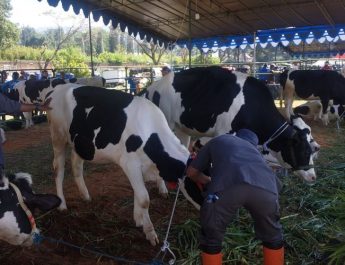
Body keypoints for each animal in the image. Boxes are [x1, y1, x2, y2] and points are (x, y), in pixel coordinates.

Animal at [12, 79, 191, 245]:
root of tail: (55, 89)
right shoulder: (130, 164)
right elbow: (144, 199)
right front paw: (150, 233)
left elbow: (138, 193)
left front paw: (138, 220)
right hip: (58, 138)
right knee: (59, 170)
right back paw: (62, 205)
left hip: (80, 143)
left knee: (76, 165)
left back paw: (85, 195)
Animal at [146, 66, 316, 182]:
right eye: (305, 151)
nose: (313, 176)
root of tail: (152, 87)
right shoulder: (223, 132)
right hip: (166, 123)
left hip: (182, 127)